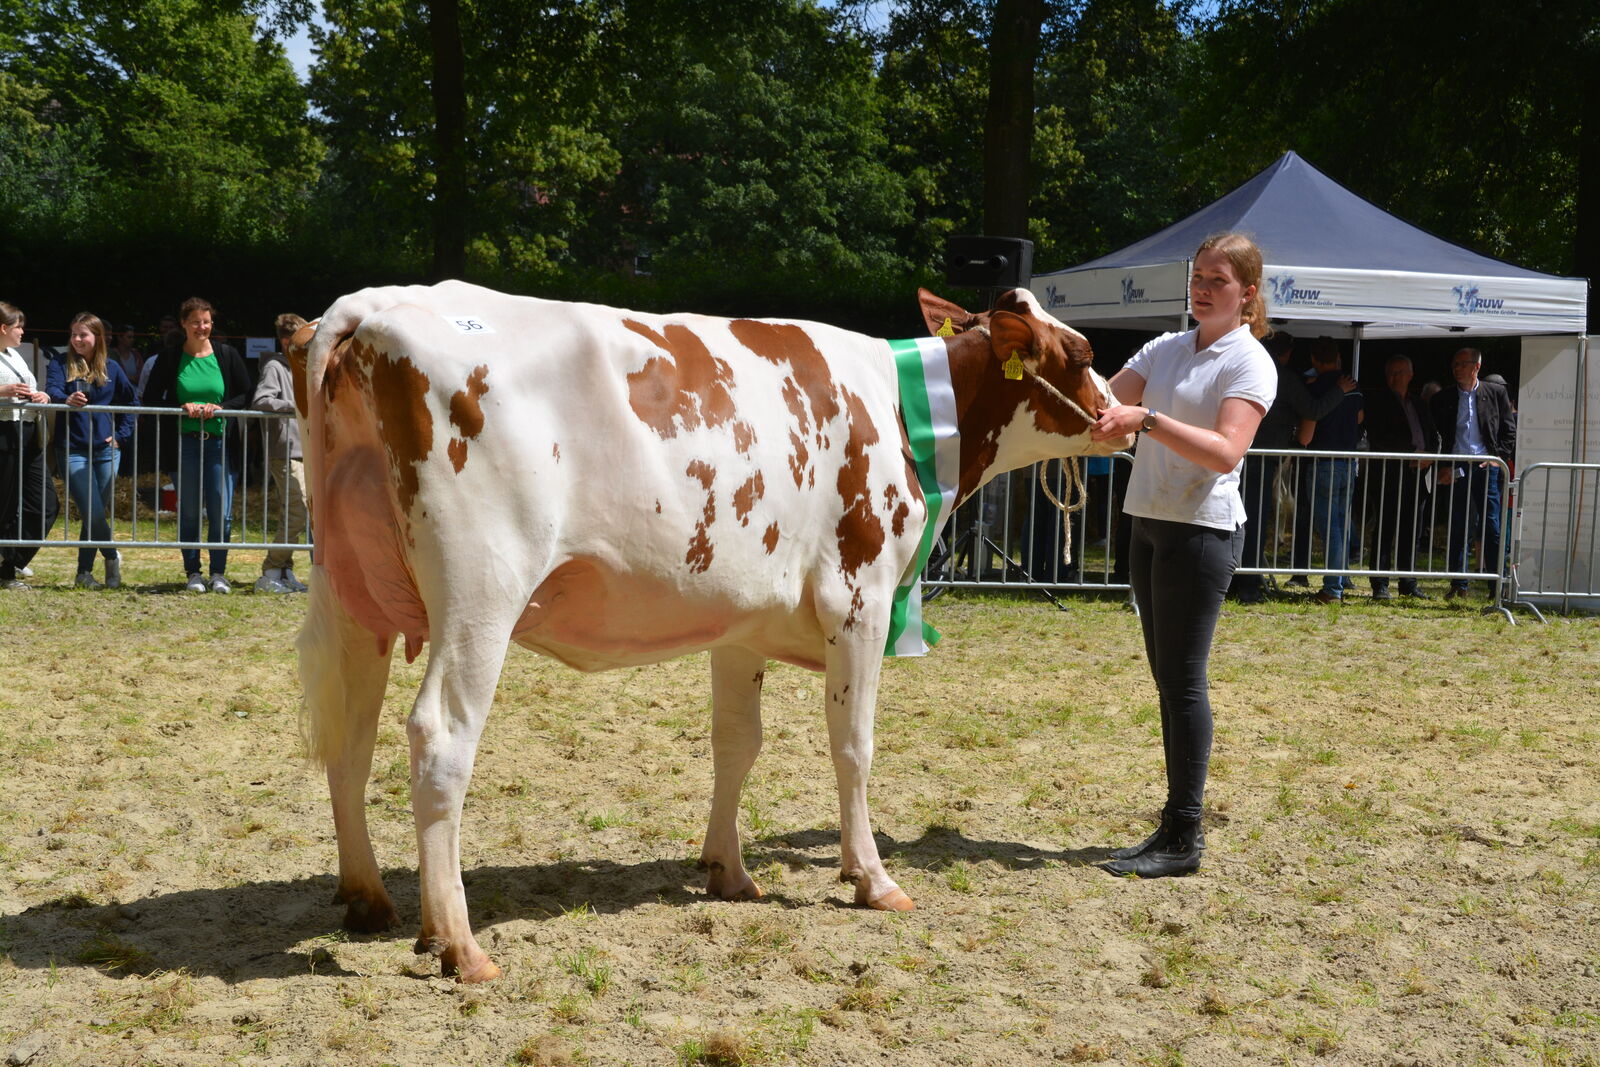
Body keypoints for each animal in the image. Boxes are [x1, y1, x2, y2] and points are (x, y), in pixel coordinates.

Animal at [294, 279, 1132, 979]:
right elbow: (854, 747)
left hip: (354, 595)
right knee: (439, 737)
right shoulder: (859, 599)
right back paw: (458, 942)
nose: (1127, 420)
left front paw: (729, 870)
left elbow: (737, 743)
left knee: (351, 739)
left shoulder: (740, 624)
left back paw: (368, 897)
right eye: (1084, 355)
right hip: (482, 594)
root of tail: (374, 306)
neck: (902, 410)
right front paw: (871, 876)